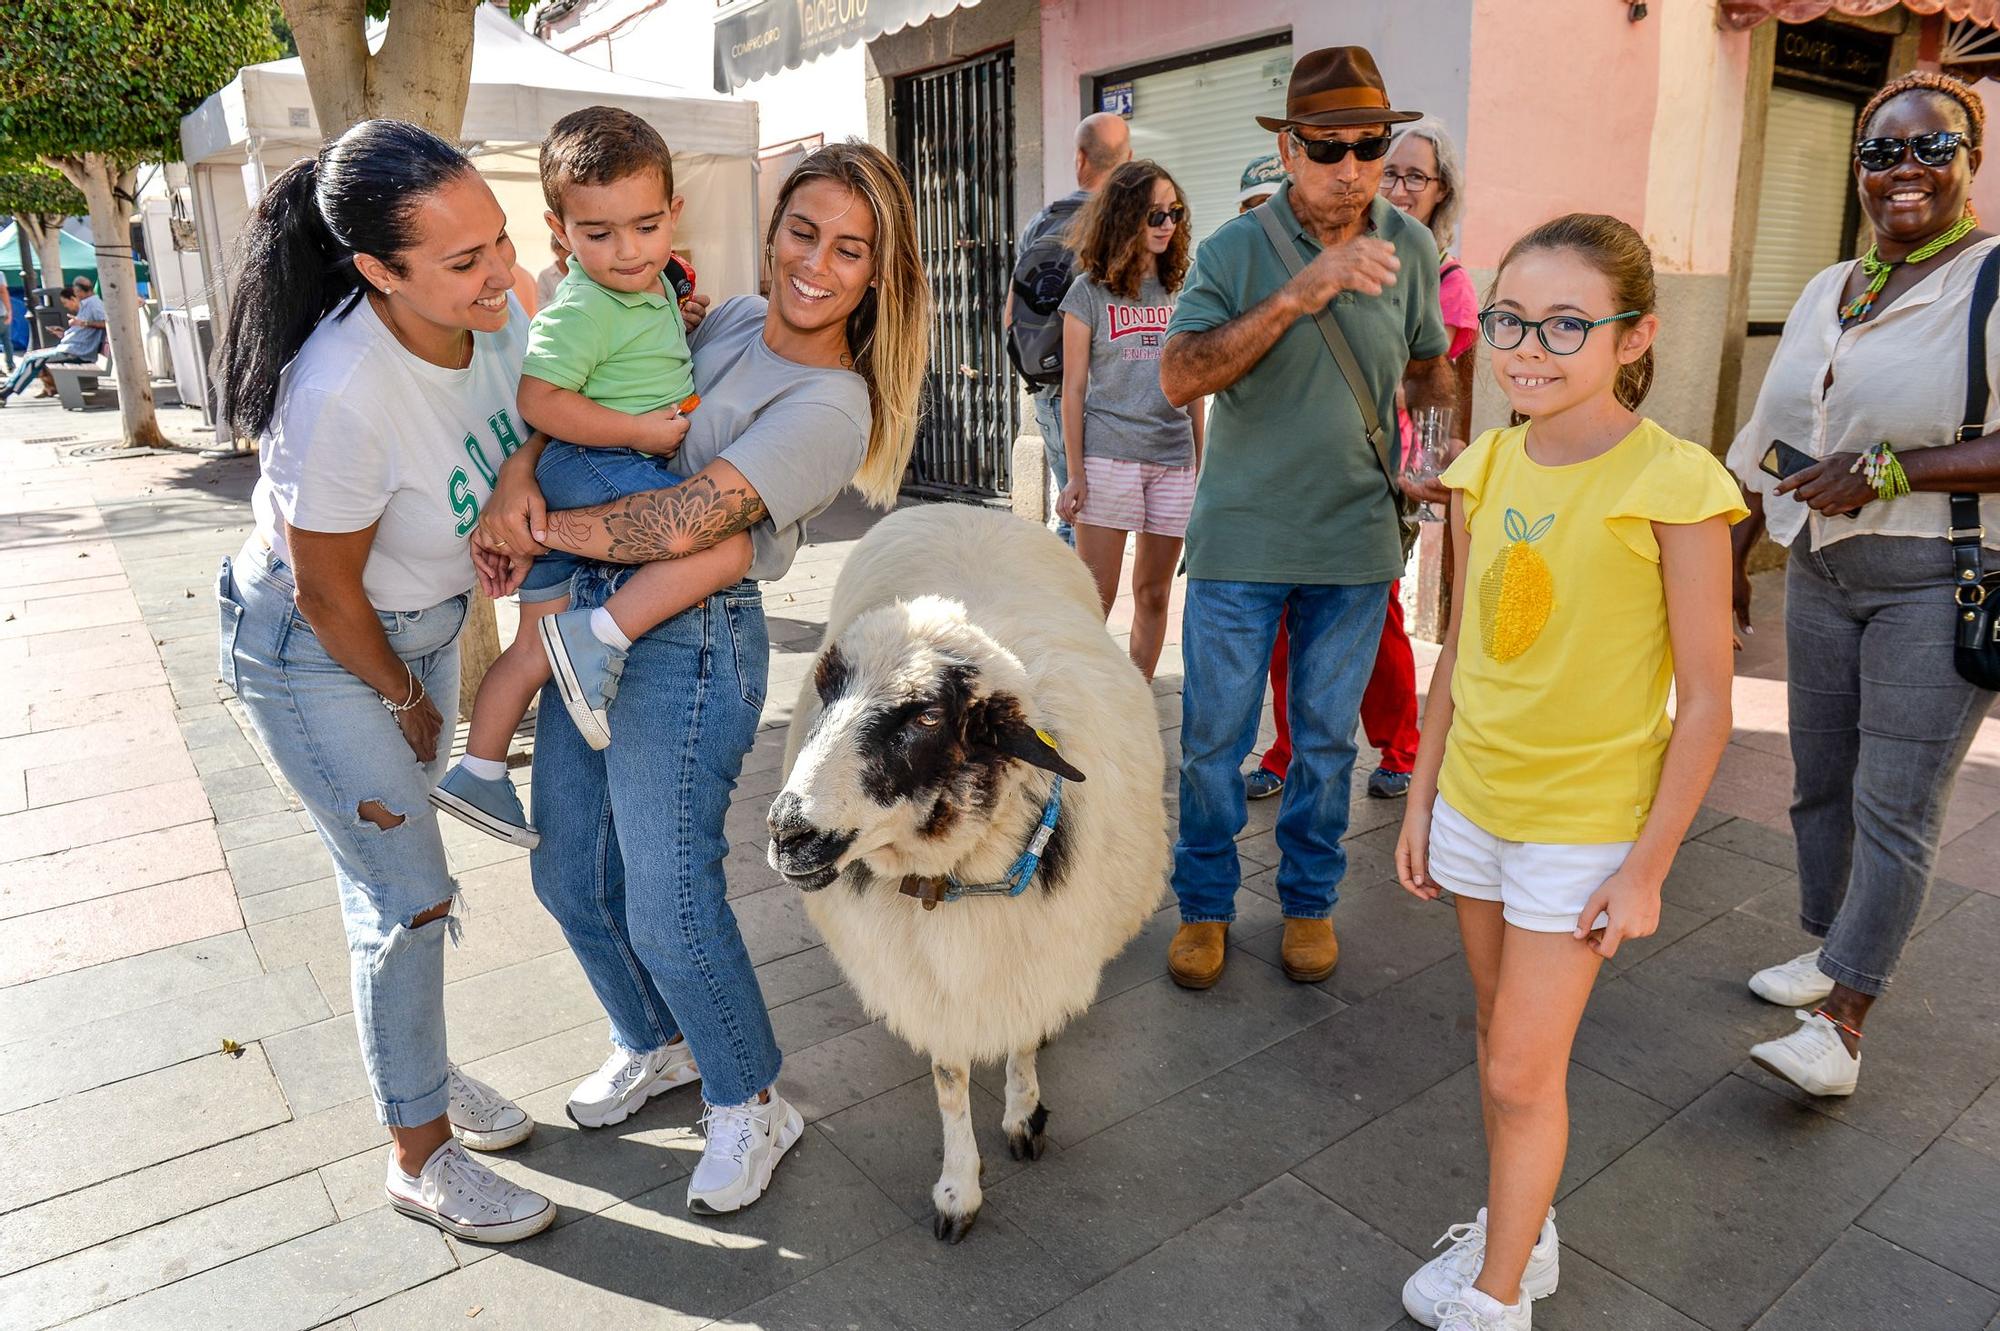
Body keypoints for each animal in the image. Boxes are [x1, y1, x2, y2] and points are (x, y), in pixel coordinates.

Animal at [768, 497, 1168, 1231]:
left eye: (926, 717)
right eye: (826, 692)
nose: (787, 834)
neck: (952, 879)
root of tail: (957, 506)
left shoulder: (1033, 953)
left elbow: (1023, 1039)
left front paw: (1023, 1112)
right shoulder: (933, 986)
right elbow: (950, 1083)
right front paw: (959, 1186)